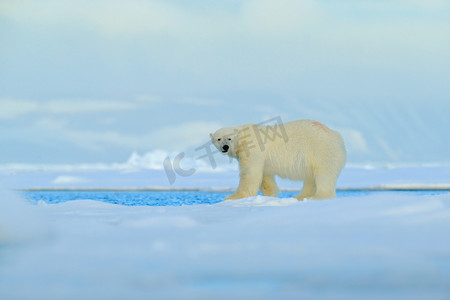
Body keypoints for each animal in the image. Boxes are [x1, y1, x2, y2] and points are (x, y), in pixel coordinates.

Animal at [209, 119, 346, 199]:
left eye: (230, 138)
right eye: (219, 139)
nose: (225, 147)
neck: (244, 137)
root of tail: (336, 135)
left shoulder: (253, 148)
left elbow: (250, 173)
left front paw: (234, 196)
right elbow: (265, 176)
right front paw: (271, 196)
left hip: (321, 150)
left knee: (324, 174)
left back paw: (318, 196)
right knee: (311, 178)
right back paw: (299, 196)